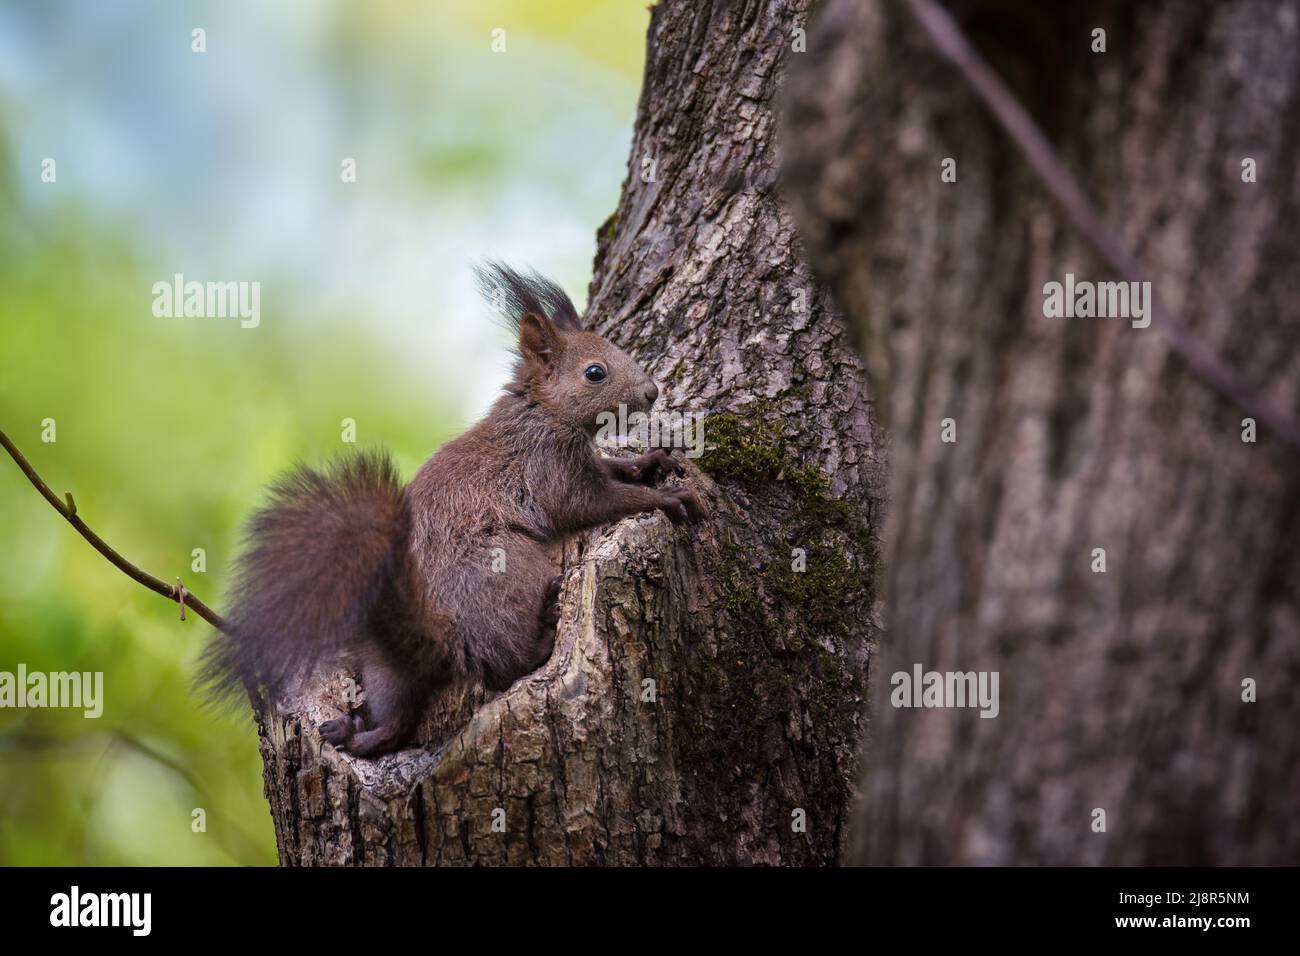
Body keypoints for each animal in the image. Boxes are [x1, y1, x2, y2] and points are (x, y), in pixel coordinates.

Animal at [202, 261, 707, 754]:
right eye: (595, 373)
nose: (652, 391)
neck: (539, 412)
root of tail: (440, 637)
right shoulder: (550, 470)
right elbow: (596, 502)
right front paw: (666, 497)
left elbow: (611, 469)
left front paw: (649, 461)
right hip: (509, 566)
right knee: (504, 666)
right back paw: (543, 630)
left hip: (384, 670)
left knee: (395, 719)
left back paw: (353, 733)